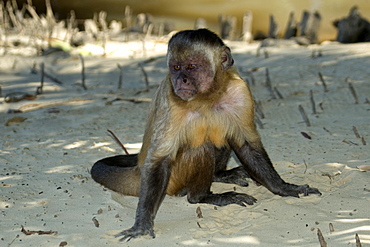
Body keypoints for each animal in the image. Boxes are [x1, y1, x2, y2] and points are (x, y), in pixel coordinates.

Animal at [90, 28, 320, 240]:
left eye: (192, 67)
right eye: (176, 68)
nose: (181, 80)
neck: (207, 96)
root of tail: (139, 168)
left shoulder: (241, 91)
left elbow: (246, 144)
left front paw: (284, 188)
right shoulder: (172, 98)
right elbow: (160, 160)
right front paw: (142, 224)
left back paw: (219, 175)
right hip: (174, 180)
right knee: (201, 148)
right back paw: (201, 197)